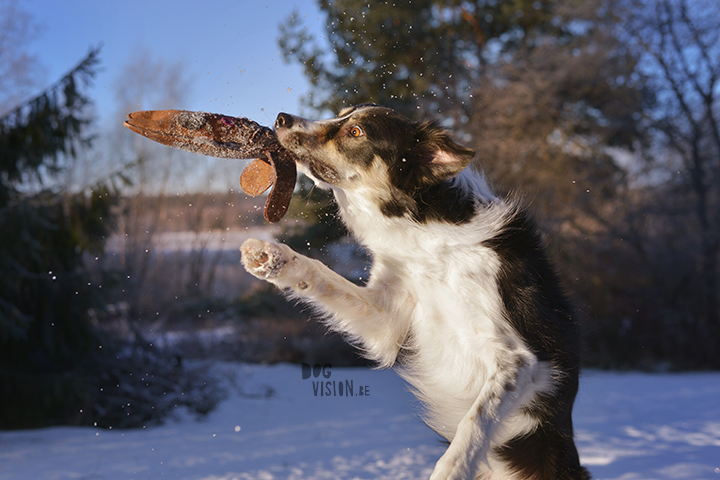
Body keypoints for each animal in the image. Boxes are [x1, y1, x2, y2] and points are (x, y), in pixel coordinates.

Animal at [242, 105, 592, 480]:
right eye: (341, 114)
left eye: (356, 132)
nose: (281, 119)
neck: (426, 238)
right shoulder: (388, 316)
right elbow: (321, 274)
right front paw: (272, 257)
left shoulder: (521, 360)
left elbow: (475, 419)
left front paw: (451, 470)